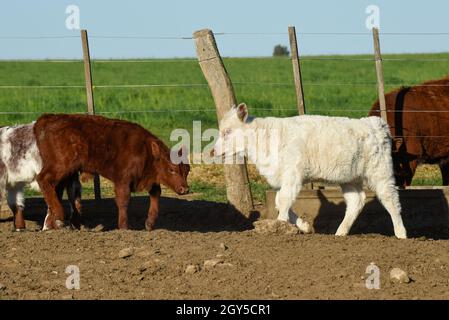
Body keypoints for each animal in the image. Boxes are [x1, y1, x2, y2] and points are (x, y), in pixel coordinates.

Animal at [33, 114, 190, 231]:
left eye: (187, 171)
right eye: (171, 169)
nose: (185, 189)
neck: (145, 150)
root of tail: (47, 118)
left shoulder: (148, 178)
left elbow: (156, 193)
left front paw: (150, 223)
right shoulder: (122, 180)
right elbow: (123, 200)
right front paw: (124, 227)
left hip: (66, 172)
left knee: (56, 189)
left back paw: (56, 223)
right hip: (60, 166)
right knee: (43, 179)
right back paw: (59, 214)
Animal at [213, 104, 406, 239]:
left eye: (228, 131)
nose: (213, 151)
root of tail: (374, 123)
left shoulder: (293, 174)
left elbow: (283, 200)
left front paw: (279, 225)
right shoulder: (283, 178)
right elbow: (279, 201)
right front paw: (303, 226)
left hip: (380, 172)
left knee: (391, 199)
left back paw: (401, 233)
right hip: (349, 178)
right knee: (356, 201)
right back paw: (340, 233)